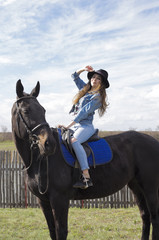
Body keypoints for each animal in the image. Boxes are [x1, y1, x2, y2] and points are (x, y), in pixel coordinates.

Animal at [11, 80, 159, 240]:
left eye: (43, 111)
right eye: (26, 111)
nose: (49, 144)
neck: (40, 160)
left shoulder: (59, 199)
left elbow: (61, 231)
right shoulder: (43, 201)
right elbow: (52, 231)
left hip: (150, 187)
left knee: (154, 217)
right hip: (136, 186)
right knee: (145, 216)